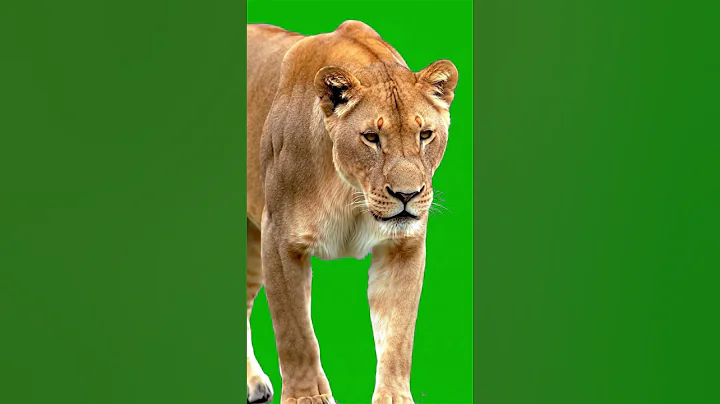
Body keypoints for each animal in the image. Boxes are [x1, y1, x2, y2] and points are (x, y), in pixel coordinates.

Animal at [246, 20, 459, 404]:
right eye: (371, 137)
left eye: (425, 134)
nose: (407, 195)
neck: (351, 196)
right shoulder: (280, 240)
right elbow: (295, 333)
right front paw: (306, 397)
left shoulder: (404, 247)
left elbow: (398, 335)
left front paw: (394, 397)